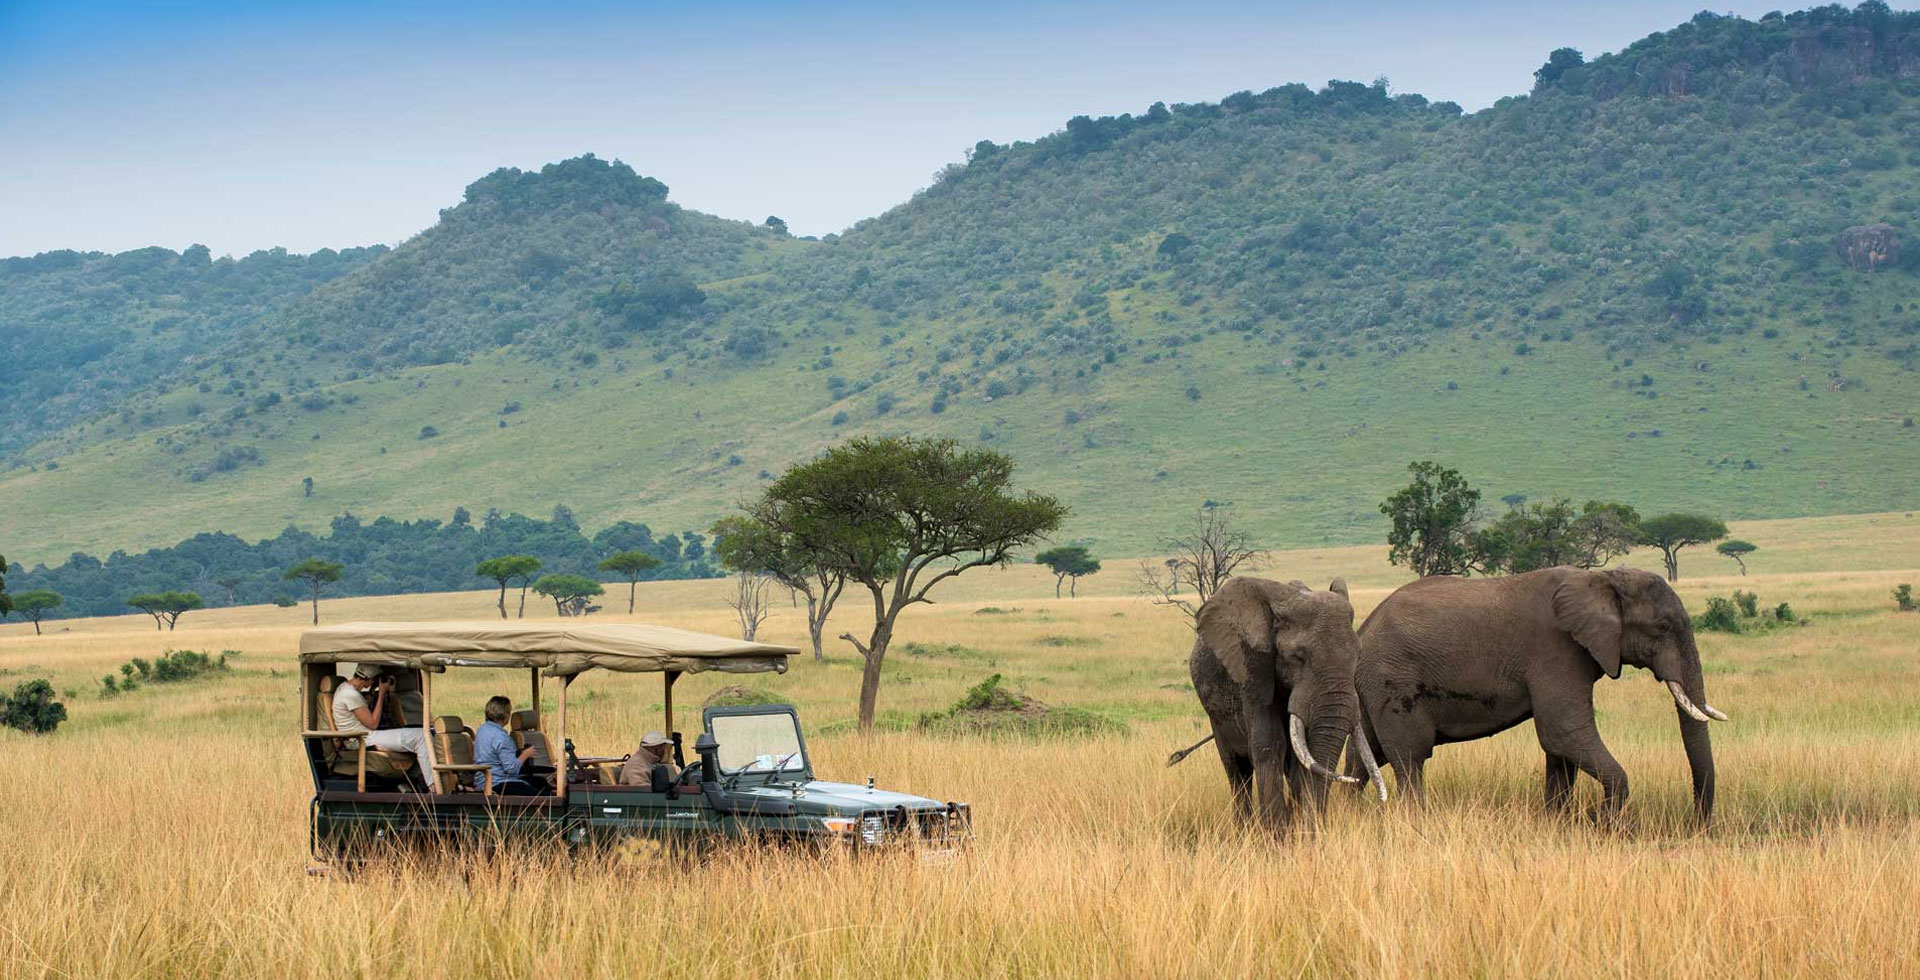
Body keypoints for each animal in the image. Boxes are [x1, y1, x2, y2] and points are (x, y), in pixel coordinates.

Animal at [1167, 572, 1382, 826]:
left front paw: (1296, 828)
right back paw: (1244, 828)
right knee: (1236, 771)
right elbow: (1269, 742)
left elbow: (1302, 753)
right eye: (1297, 657)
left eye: (1358, 655)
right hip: (1215, 715)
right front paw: (1276, 833)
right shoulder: (1253, 668)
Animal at [1351, 561, 1728, 822]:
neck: (1601, 579)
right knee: (1409, 758)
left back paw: (1347, 814)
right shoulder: (1556, 649)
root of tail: (1364, 628)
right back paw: (1415, 821)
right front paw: (1603, 824)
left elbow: (1560, 748)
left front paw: (1558, 823)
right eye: (1662, 627)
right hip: (1393, 679)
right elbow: (1564, 732)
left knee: (1364, 758)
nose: (1697, 825)